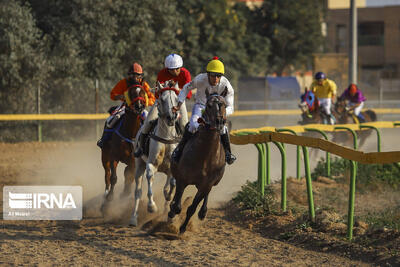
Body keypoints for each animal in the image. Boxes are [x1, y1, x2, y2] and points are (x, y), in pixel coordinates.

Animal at [167, 88, 227, 234]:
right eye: (209, 105)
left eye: (224, 104)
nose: (219, 122)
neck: (204, 156)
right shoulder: (183, 179)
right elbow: (177, 205)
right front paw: (172, 212)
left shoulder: (207, 184)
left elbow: (192, 207)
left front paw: (183, 227)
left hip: (212, 183)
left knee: (206, 195)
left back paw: (203, 212)